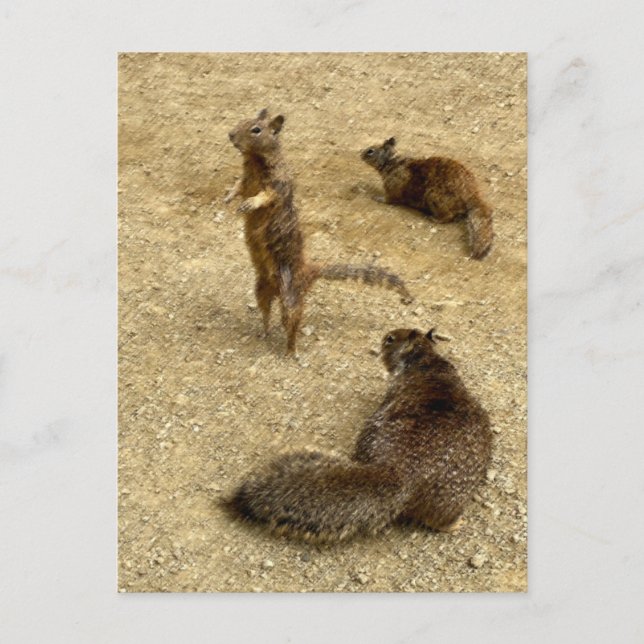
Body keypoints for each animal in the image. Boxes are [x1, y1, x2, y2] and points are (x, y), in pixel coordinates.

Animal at [224, 109, 412, 354]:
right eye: (242, 120)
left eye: (256, 129)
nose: (230, 135)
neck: (255, 162)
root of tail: (309, 272)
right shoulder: (246, 179)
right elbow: (238, 186)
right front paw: (229, 197)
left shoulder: (277, 184)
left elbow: (265, 196)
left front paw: (249, 203)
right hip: (261, 288)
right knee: (266, 312)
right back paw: (264, 332)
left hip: (291, 299)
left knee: (292, 323)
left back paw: (290, 351)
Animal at [361, 137, 494, 260]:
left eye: (370, 151)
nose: (360, 154)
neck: (392, 163)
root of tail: (472, 195)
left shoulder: (392, 187)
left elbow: (389, 198)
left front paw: (378, 198)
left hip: (434, 197)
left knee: (448, 216)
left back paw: (434, 218)